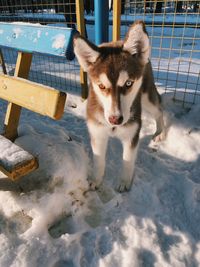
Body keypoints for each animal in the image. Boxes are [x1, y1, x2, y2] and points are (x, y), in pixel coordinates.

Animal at [73, 21, 164, 193]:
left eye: (128, 83)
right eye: (101, 86)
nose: (115, 119)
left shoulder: (131, 134)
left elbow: (127, 161)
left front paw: (124, 182)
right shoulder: (97, 133)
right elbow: (99, 161)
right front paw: (96, 180)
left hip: (147, 98)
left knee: (159, 110)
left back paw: (159, 133)